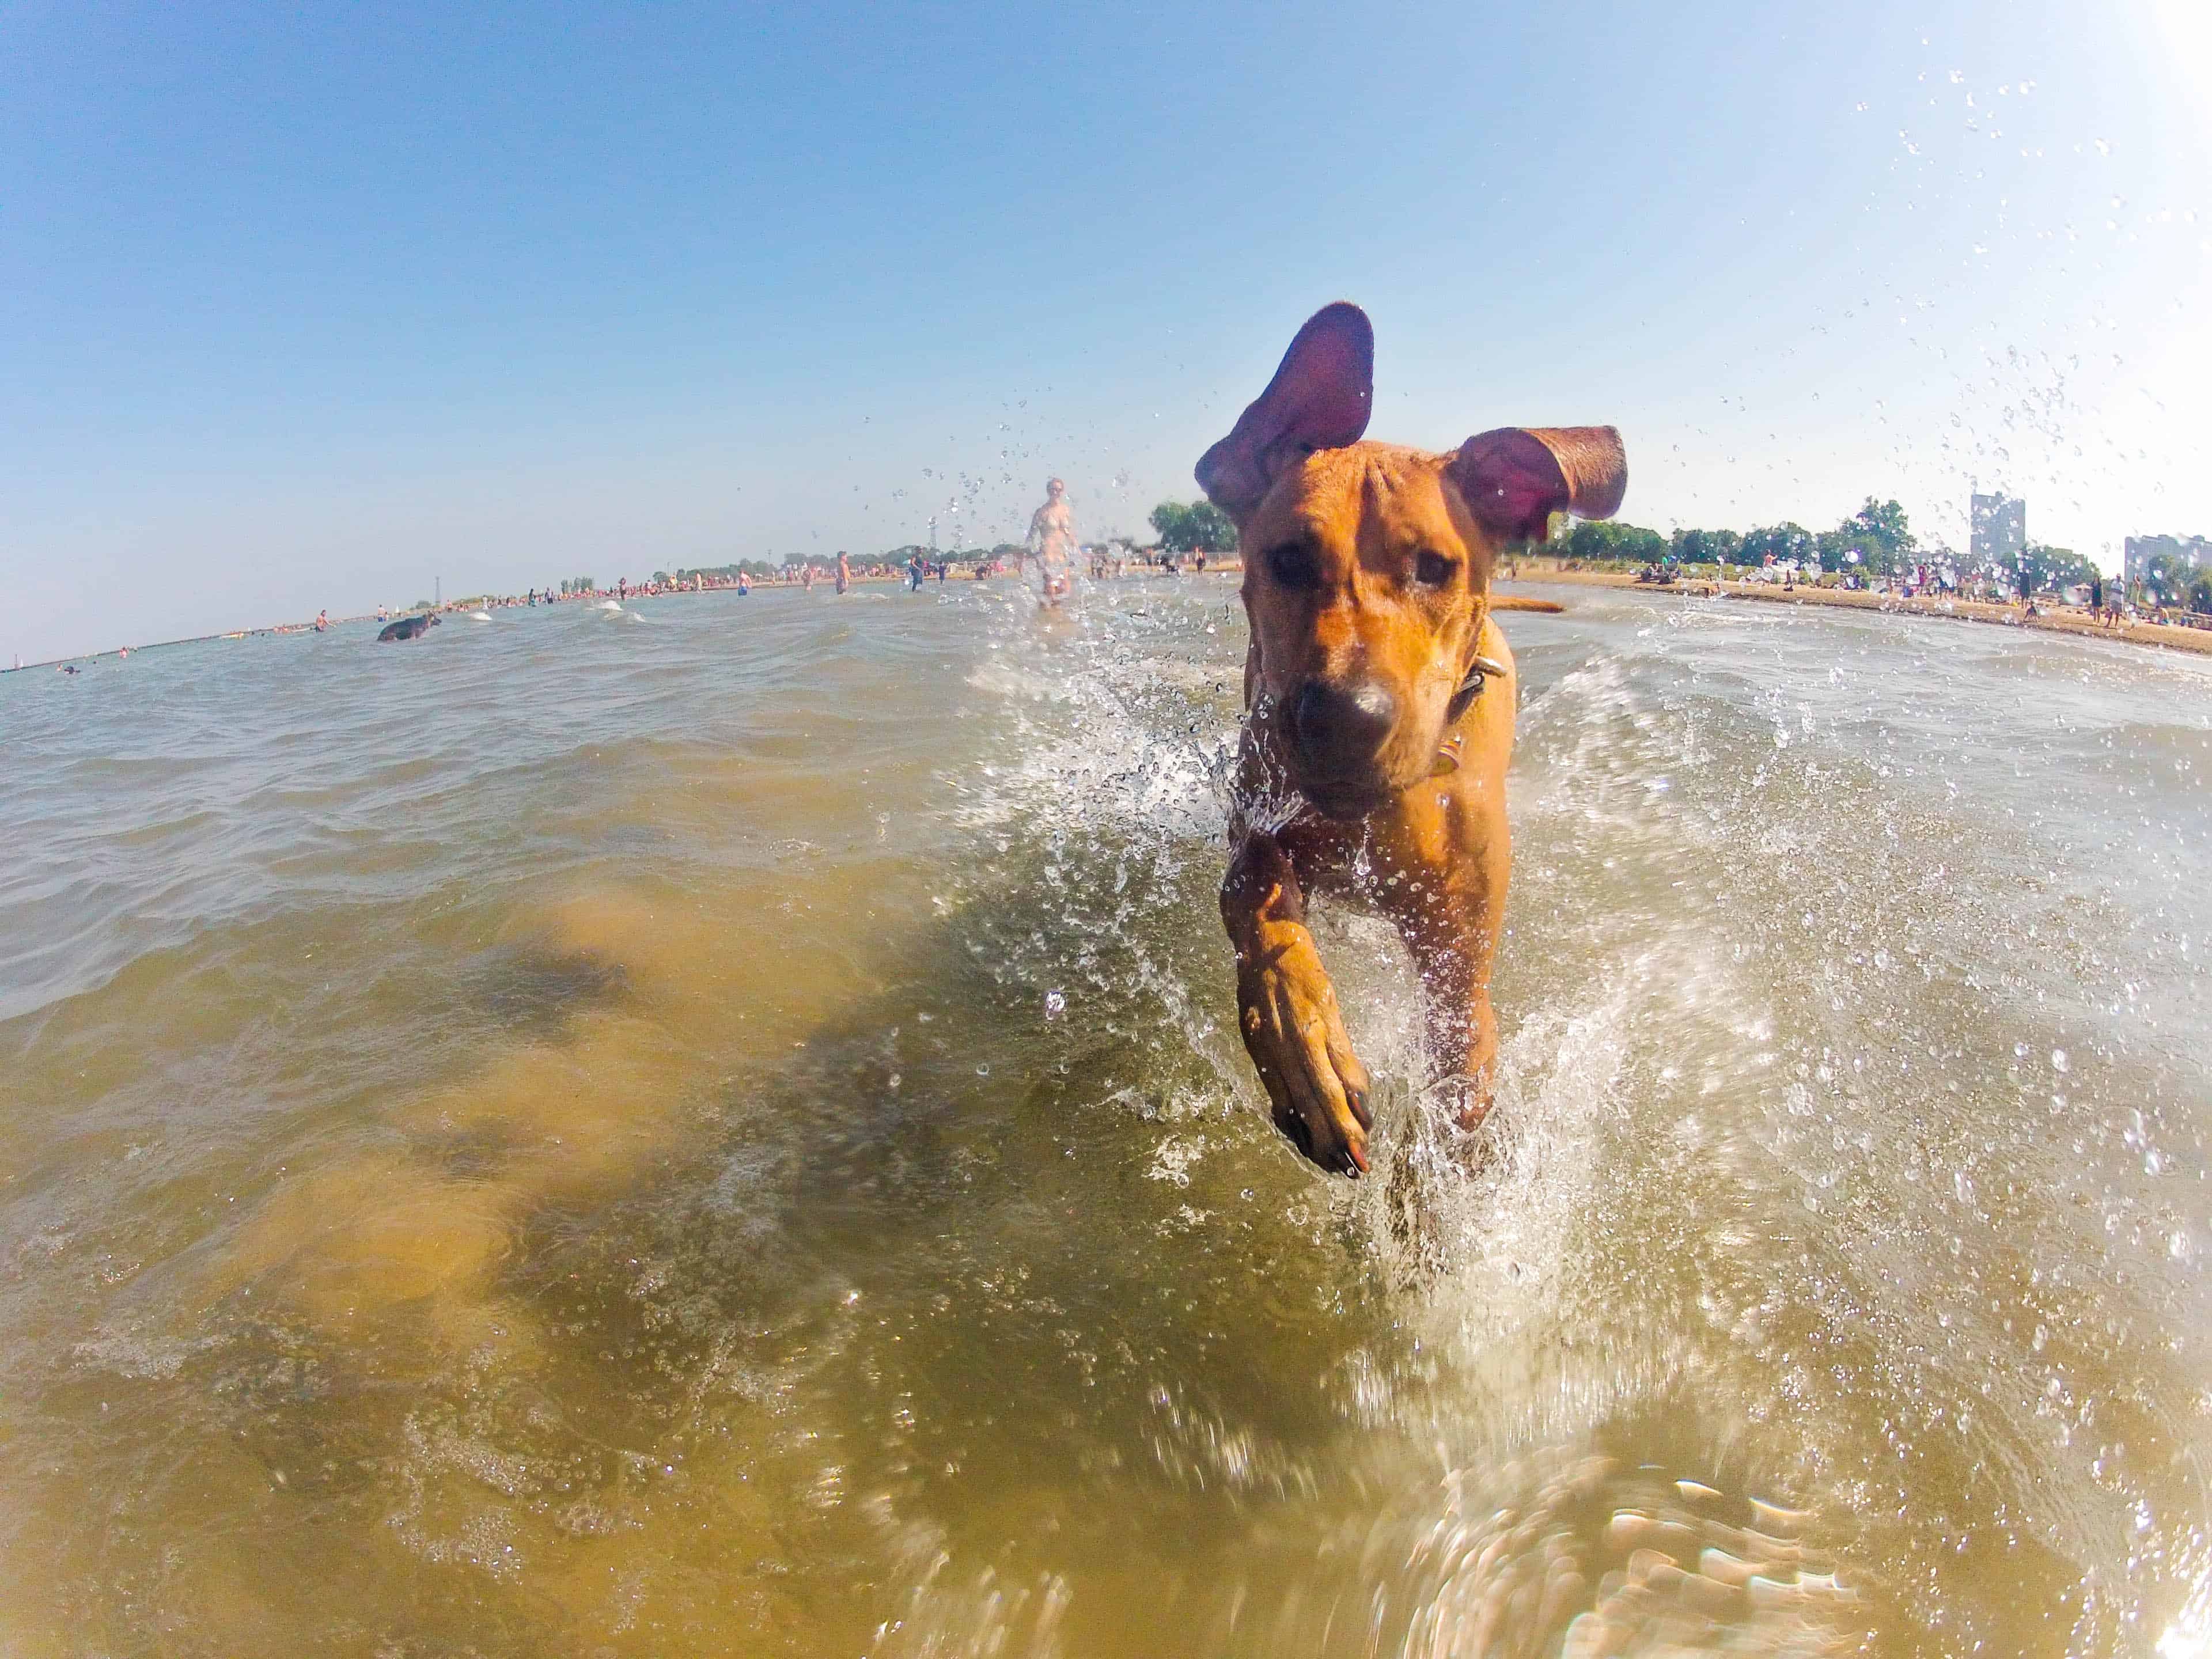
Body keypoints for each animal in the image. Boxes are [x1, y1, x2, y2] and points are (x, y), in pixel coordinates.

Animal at [1203, 305, 1637, 1176]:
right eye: (1288, 558)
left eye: (1436, 567)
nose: (1345, 716)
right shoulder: (1258, 810)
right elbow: (1252, 888)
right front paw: (1305, 1052)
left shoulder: (1459, 980)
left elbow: (1457, 1096)